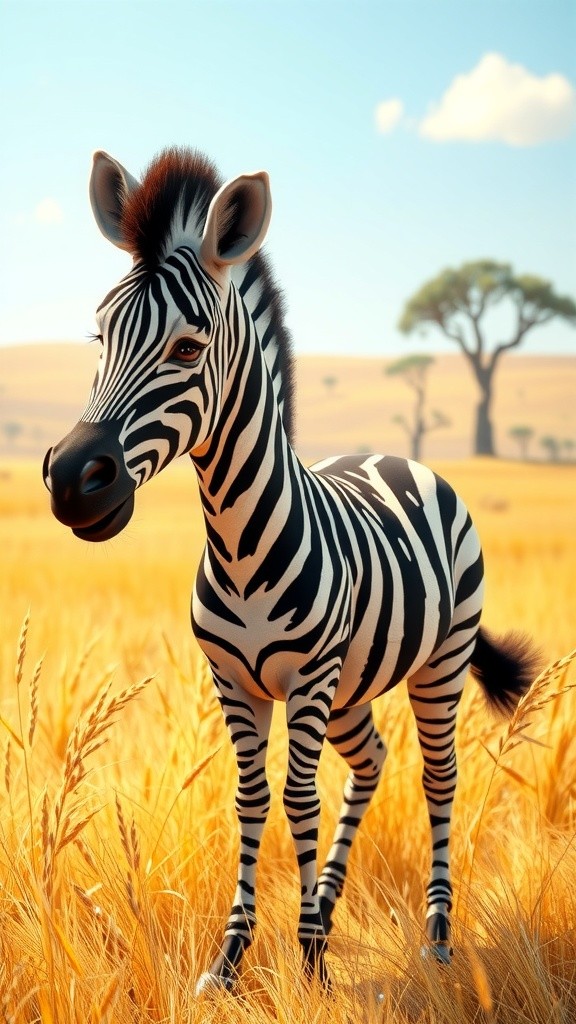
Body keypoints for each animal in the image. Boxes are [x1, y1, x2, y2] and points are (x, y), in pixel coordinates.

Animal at [43, 147, 538, 993]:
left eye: (187, 347)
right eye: (97, 334)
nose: (74, 479)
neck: (239, 542)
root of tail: (399, 454)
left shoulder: (306, 678)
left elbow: (300, 798)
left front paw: (308, 959)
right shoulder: (233, 681)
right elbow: (251, 799)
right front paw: (233, 958)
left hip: (435, 664)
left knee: (438, 778)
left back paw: (437, 937)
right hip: (351, 688)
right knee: (371, 764)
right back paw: (334, 905)